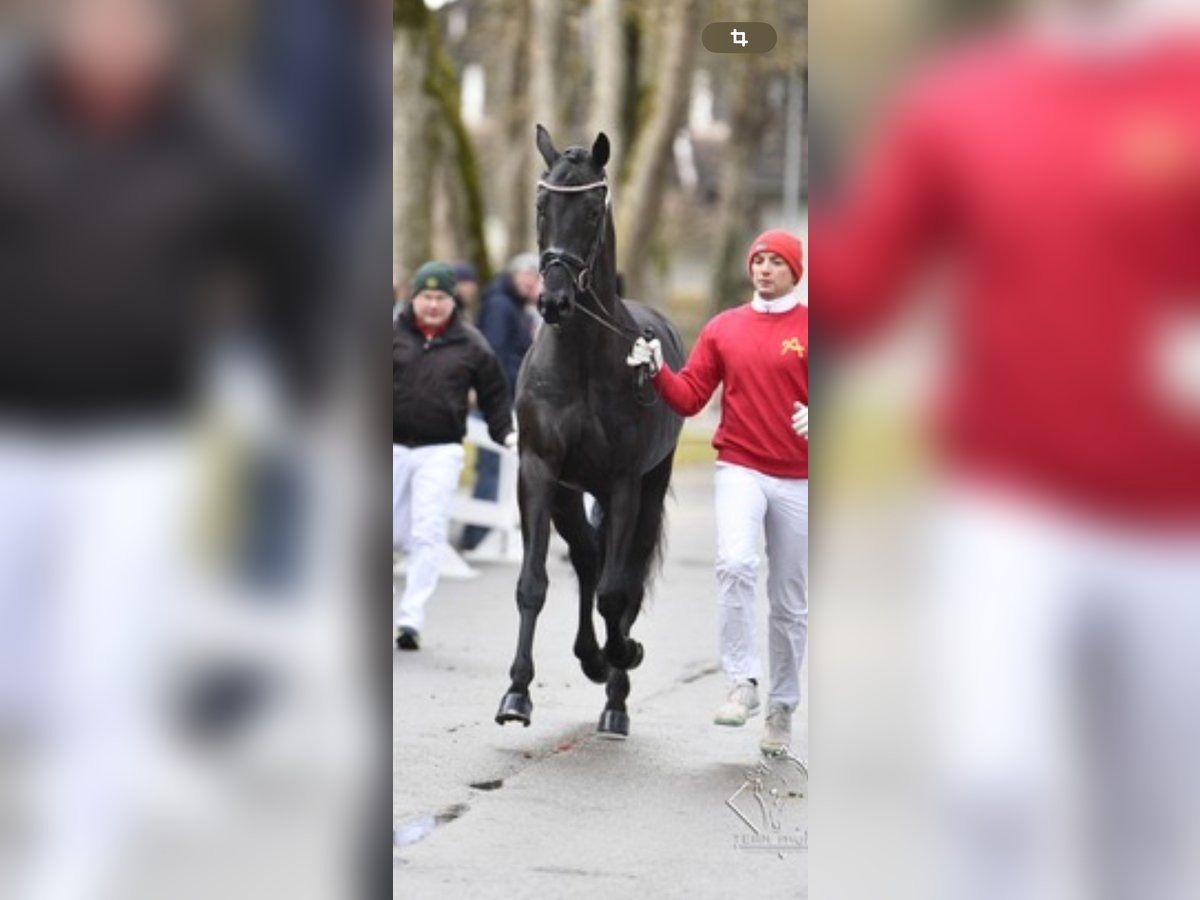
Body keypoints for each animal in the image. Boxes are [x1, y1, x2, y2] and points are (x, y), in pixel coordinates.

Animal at [492, 127, 686, 739]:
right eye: (541, 205)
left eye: (593, 210)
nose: (553, 300)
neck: (581, 357)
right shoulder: (539, 472)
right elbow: (534, 583)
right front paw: (517, 693)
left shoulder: (624, 483)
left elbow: (617, 591)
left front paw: (623, 655)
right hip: (569, 493)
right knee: (584, 557)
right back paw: (592, 658)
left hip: (648, 489)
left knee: (623, 577)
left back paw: (615, 689)